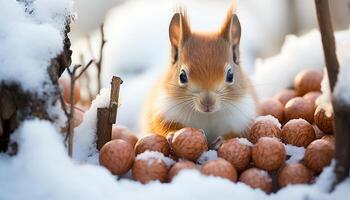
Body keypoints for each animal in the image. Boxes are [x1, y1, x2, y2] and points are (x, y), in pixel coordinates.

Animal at [141, 3, 258, 143]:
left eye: (230, 75)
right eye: (182, 76)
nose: (208, 103)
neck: (207, 115)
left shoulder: (242, 119)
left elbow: (239, 134)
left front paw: (223, 140)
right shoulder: (162, 110)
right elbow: (162, 126)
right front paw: (173, 133)